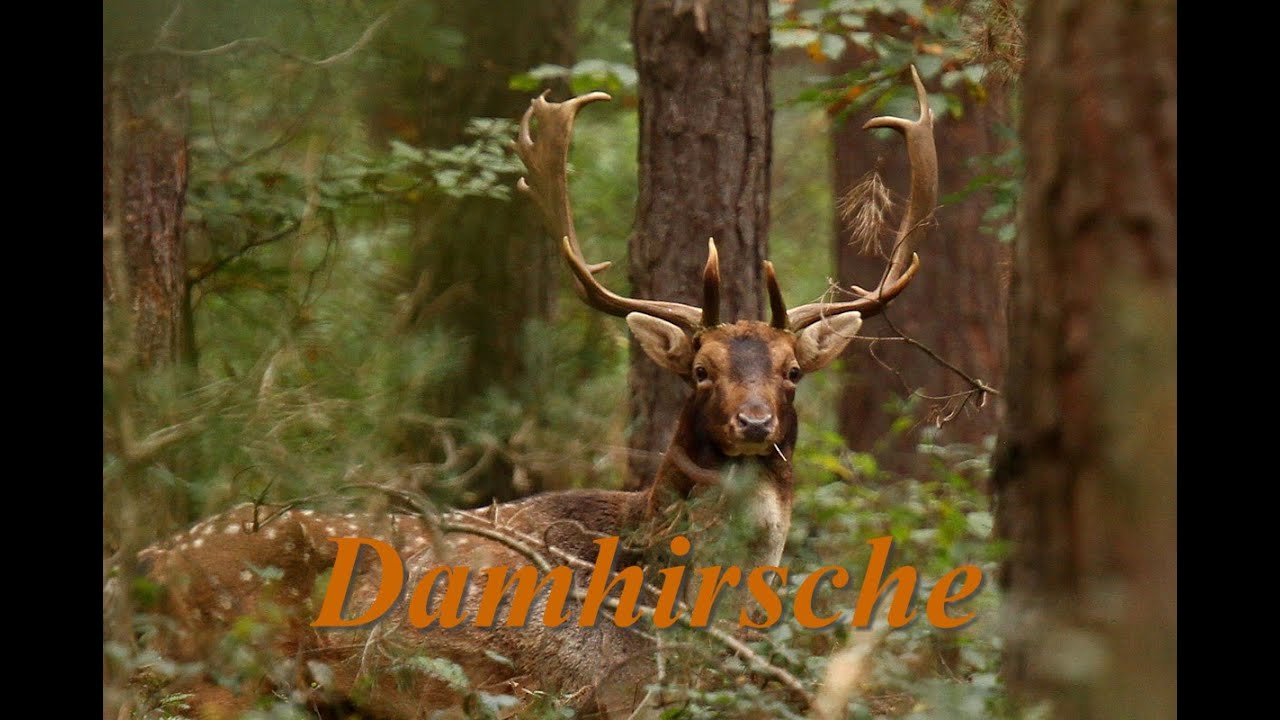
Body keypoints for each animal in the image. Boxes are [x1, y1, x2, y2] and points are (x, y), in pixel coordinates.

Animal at [126, 67, 937, 719]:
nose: (754, 420)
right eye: (701, 369)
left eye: (792, 370)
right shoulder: (561, 689)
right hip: (219, 669)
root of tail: (143, 562)